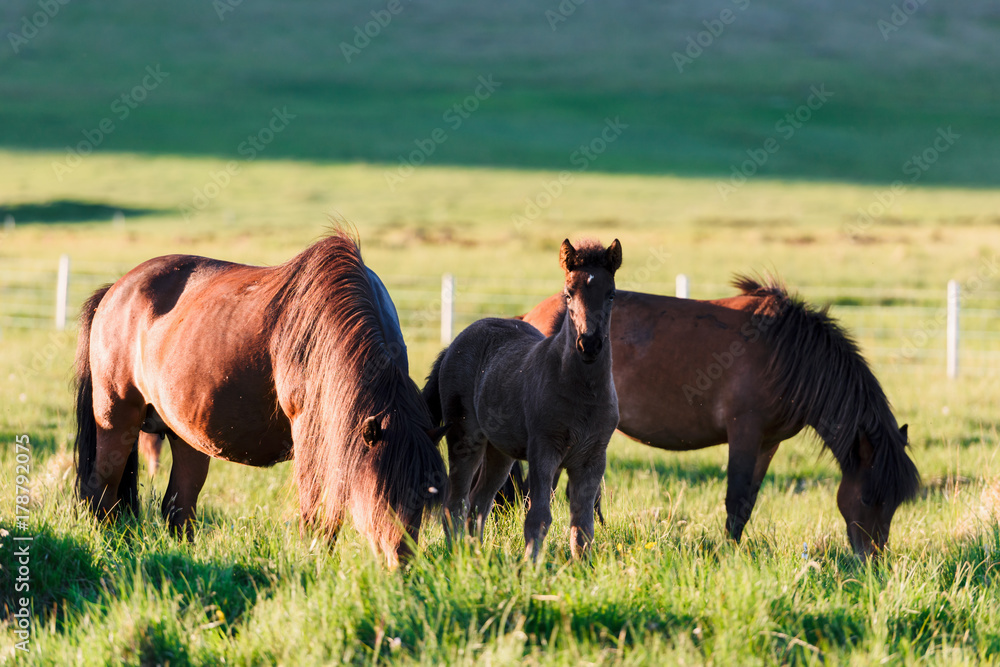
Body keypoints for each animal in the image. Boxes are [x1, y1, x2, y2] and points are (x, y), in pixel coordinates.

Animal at [77, 232, 450, 568]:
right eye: (381, 494)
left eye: (424, 496)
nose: (403, 565)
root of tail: (115, 290)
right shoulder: (312, 439)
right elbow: (317, 517)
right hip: (117, 420)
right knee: (103, 493)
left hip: (187, 436)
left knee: (177, 508)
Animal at [424, 237, 620, 560]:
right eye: (568, 294)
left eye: (611, 294)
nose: (589, 344)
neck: (582, 394)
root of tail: (453, 345)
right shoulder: (544, 451)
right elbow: (539, 515)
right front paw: (531, 564)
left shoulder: (593, 458)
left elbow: (583, 524)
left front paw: (582, 566)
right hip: (465, 439)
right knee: (455, 503)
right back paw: (457, 555)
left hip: (499, 451)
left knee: (479, 502)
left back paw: (477, 555)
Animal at [524, 276, 920, 560]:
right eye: (867, 498)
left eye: (896, 502)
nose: (872, 560)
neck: (787, 353)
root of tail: (530, 316)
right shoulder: (744, 432)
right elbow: (735, 497)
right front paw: (730, 556)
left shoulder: (768, 443)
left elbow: (747, 503)